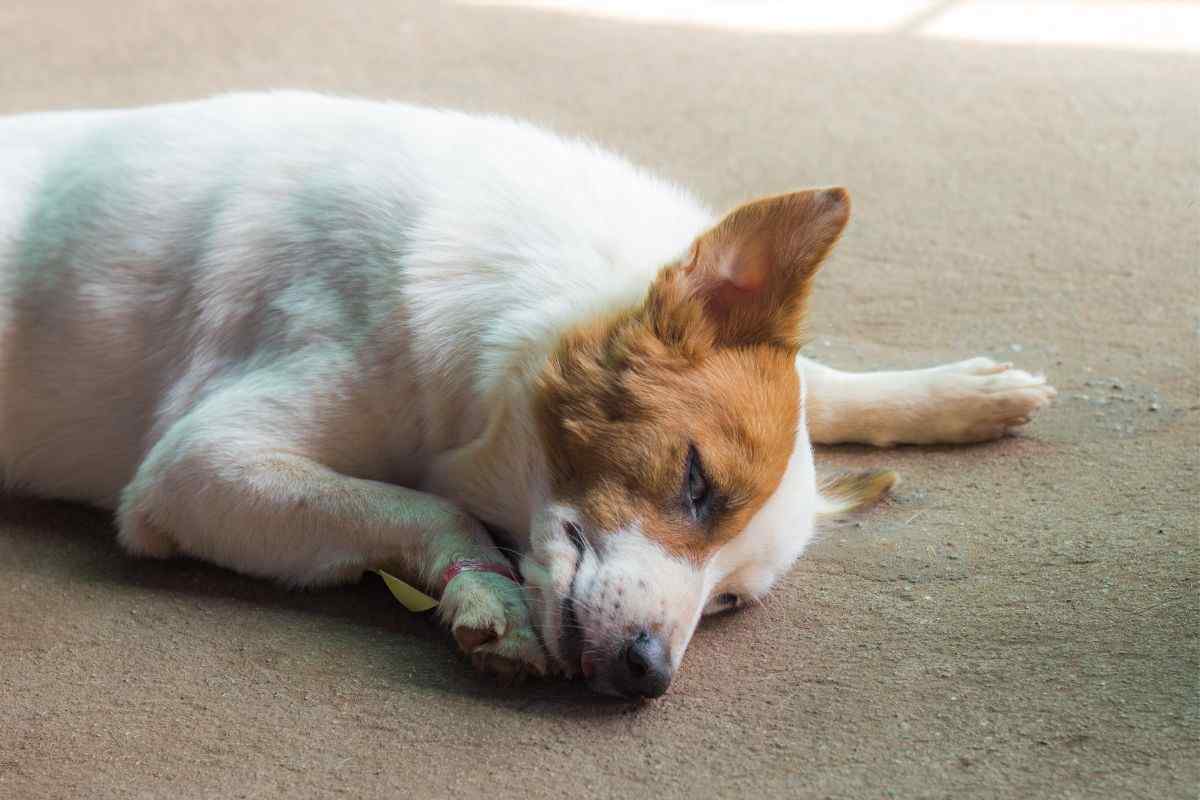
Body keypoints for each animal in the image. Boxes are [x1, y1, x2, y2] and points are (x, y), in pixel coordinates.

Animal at [0, 92, 1056, 695]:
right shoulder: (196, 471)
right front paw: (494, 598)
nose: (646, 677)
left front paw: (957, 395)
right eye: (697, 484)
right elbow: (422, 506)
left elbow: (823, 381)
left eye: (728, 605)